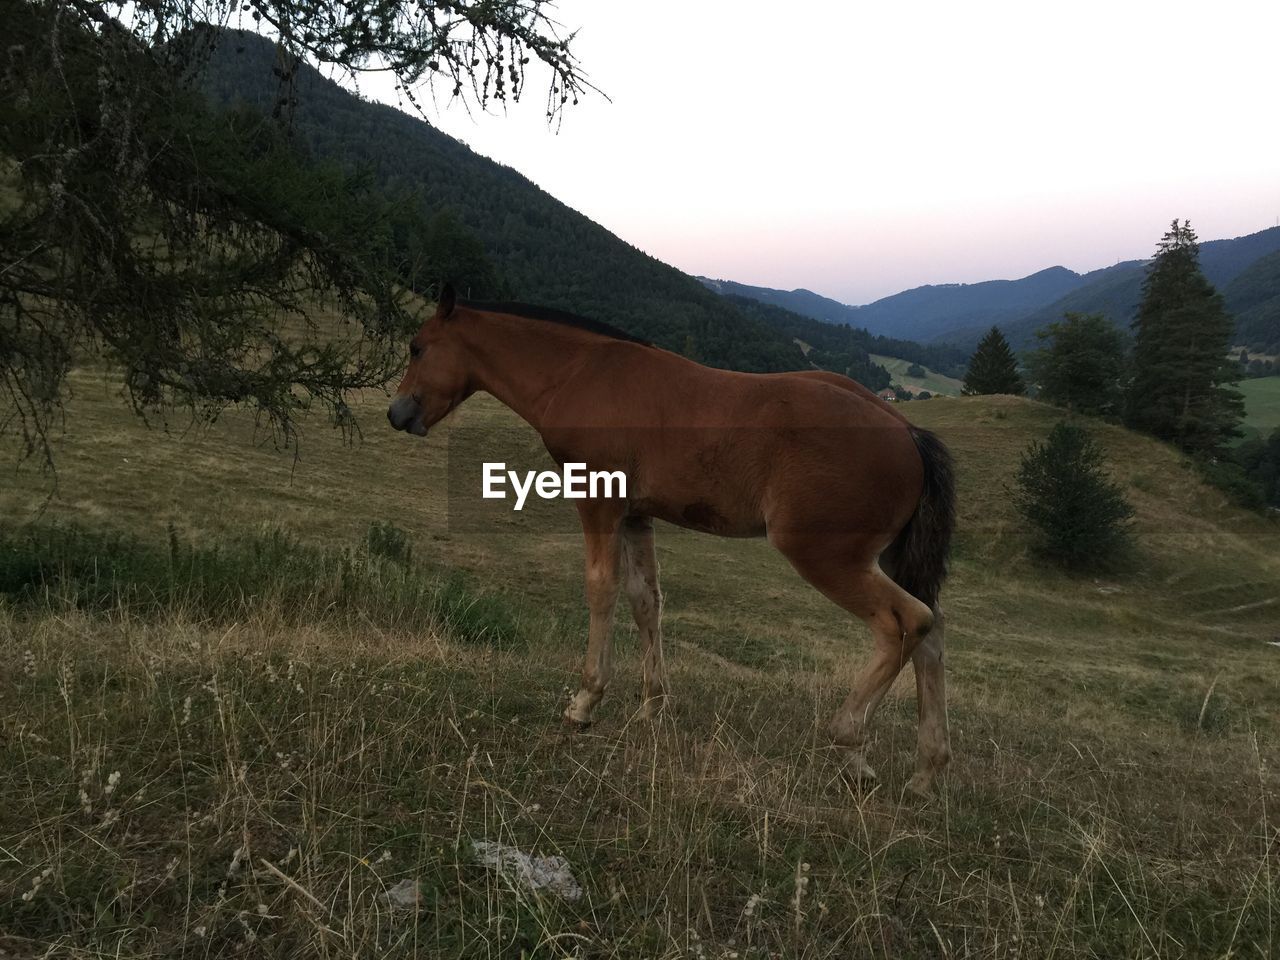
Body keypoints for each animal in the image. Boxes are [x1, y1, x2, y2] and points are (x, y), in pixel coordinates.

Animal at [384, 285, 957, 798]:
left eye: (417, 346)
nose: (397, 413)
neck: (578, 374)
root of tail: (906, 431)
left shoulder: (598, 498)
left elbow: (601, 589)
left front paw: (585, 701)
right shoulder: (637, 515)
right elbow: (646, 601)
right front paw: (651, 706)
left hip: (826, 555)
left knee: (905, 623)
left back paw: (851, 743)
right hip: (885, 559)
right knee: (932, 632)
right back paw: (925, 773)